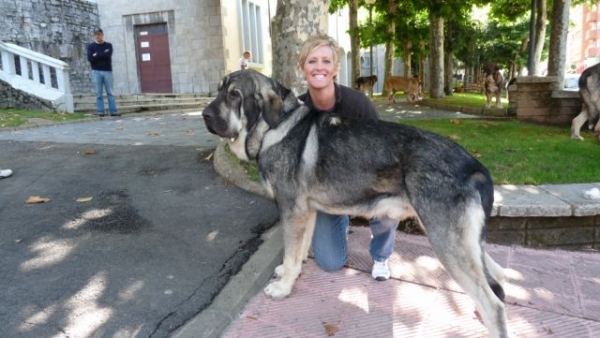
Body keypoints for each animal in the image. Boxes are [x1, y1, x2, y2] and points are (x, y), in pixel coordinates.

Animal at [204, 70, 508, 336]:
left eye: (234, 95)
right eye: (219, 90)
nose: (204, 114)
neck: (273, 128)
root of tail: (476, 167)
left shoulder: (291, 211)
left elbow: (290, 253)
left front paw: (283, 287)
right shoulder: (306, 213)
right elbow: (299, 251)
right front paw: (292, 273)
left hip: (447, 243)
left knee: (494, 304)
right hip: (465, 244)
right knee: (498, 278)